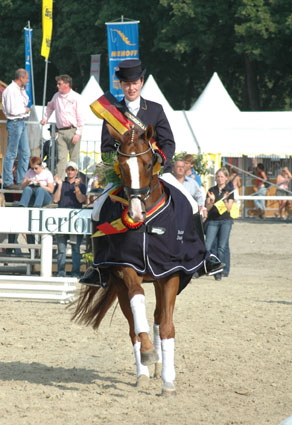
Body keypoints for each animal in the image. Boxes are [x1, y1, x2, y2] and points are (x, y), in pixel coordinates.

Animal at [71, 124, 194, 396]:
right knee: (134, 328)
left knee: (158, 317)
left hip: (158, 279)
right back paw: (144, 372)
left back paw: (159, 367)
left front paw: (168, 382)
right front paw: (148, 354)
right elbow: (138, 302)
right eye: (121, 165)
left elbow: (167, 325)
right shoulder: (125, 267)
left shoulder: (170, 272)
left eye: (149, 164)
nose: (136, 213)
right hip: (118, 284)